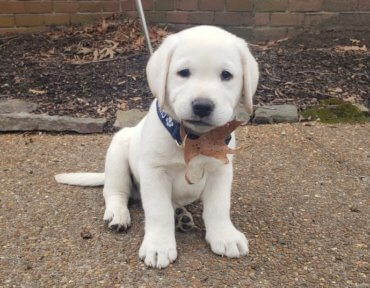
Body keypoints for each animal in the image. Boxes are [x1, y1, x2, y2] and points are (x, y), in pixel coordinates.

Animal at [55, 25, 260, 268]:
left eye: (226, 75)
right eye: (183, 72)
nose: (202, 106)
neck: (194, 139)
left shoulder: (221, 170)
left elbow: (219, 206)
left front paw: (225, 236)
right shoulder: (154, 172)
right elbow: (159, 212)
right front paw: (158, 246)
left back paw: (181, 215)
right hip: (117, 154)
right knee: (115, 192)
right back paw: (118, 215)